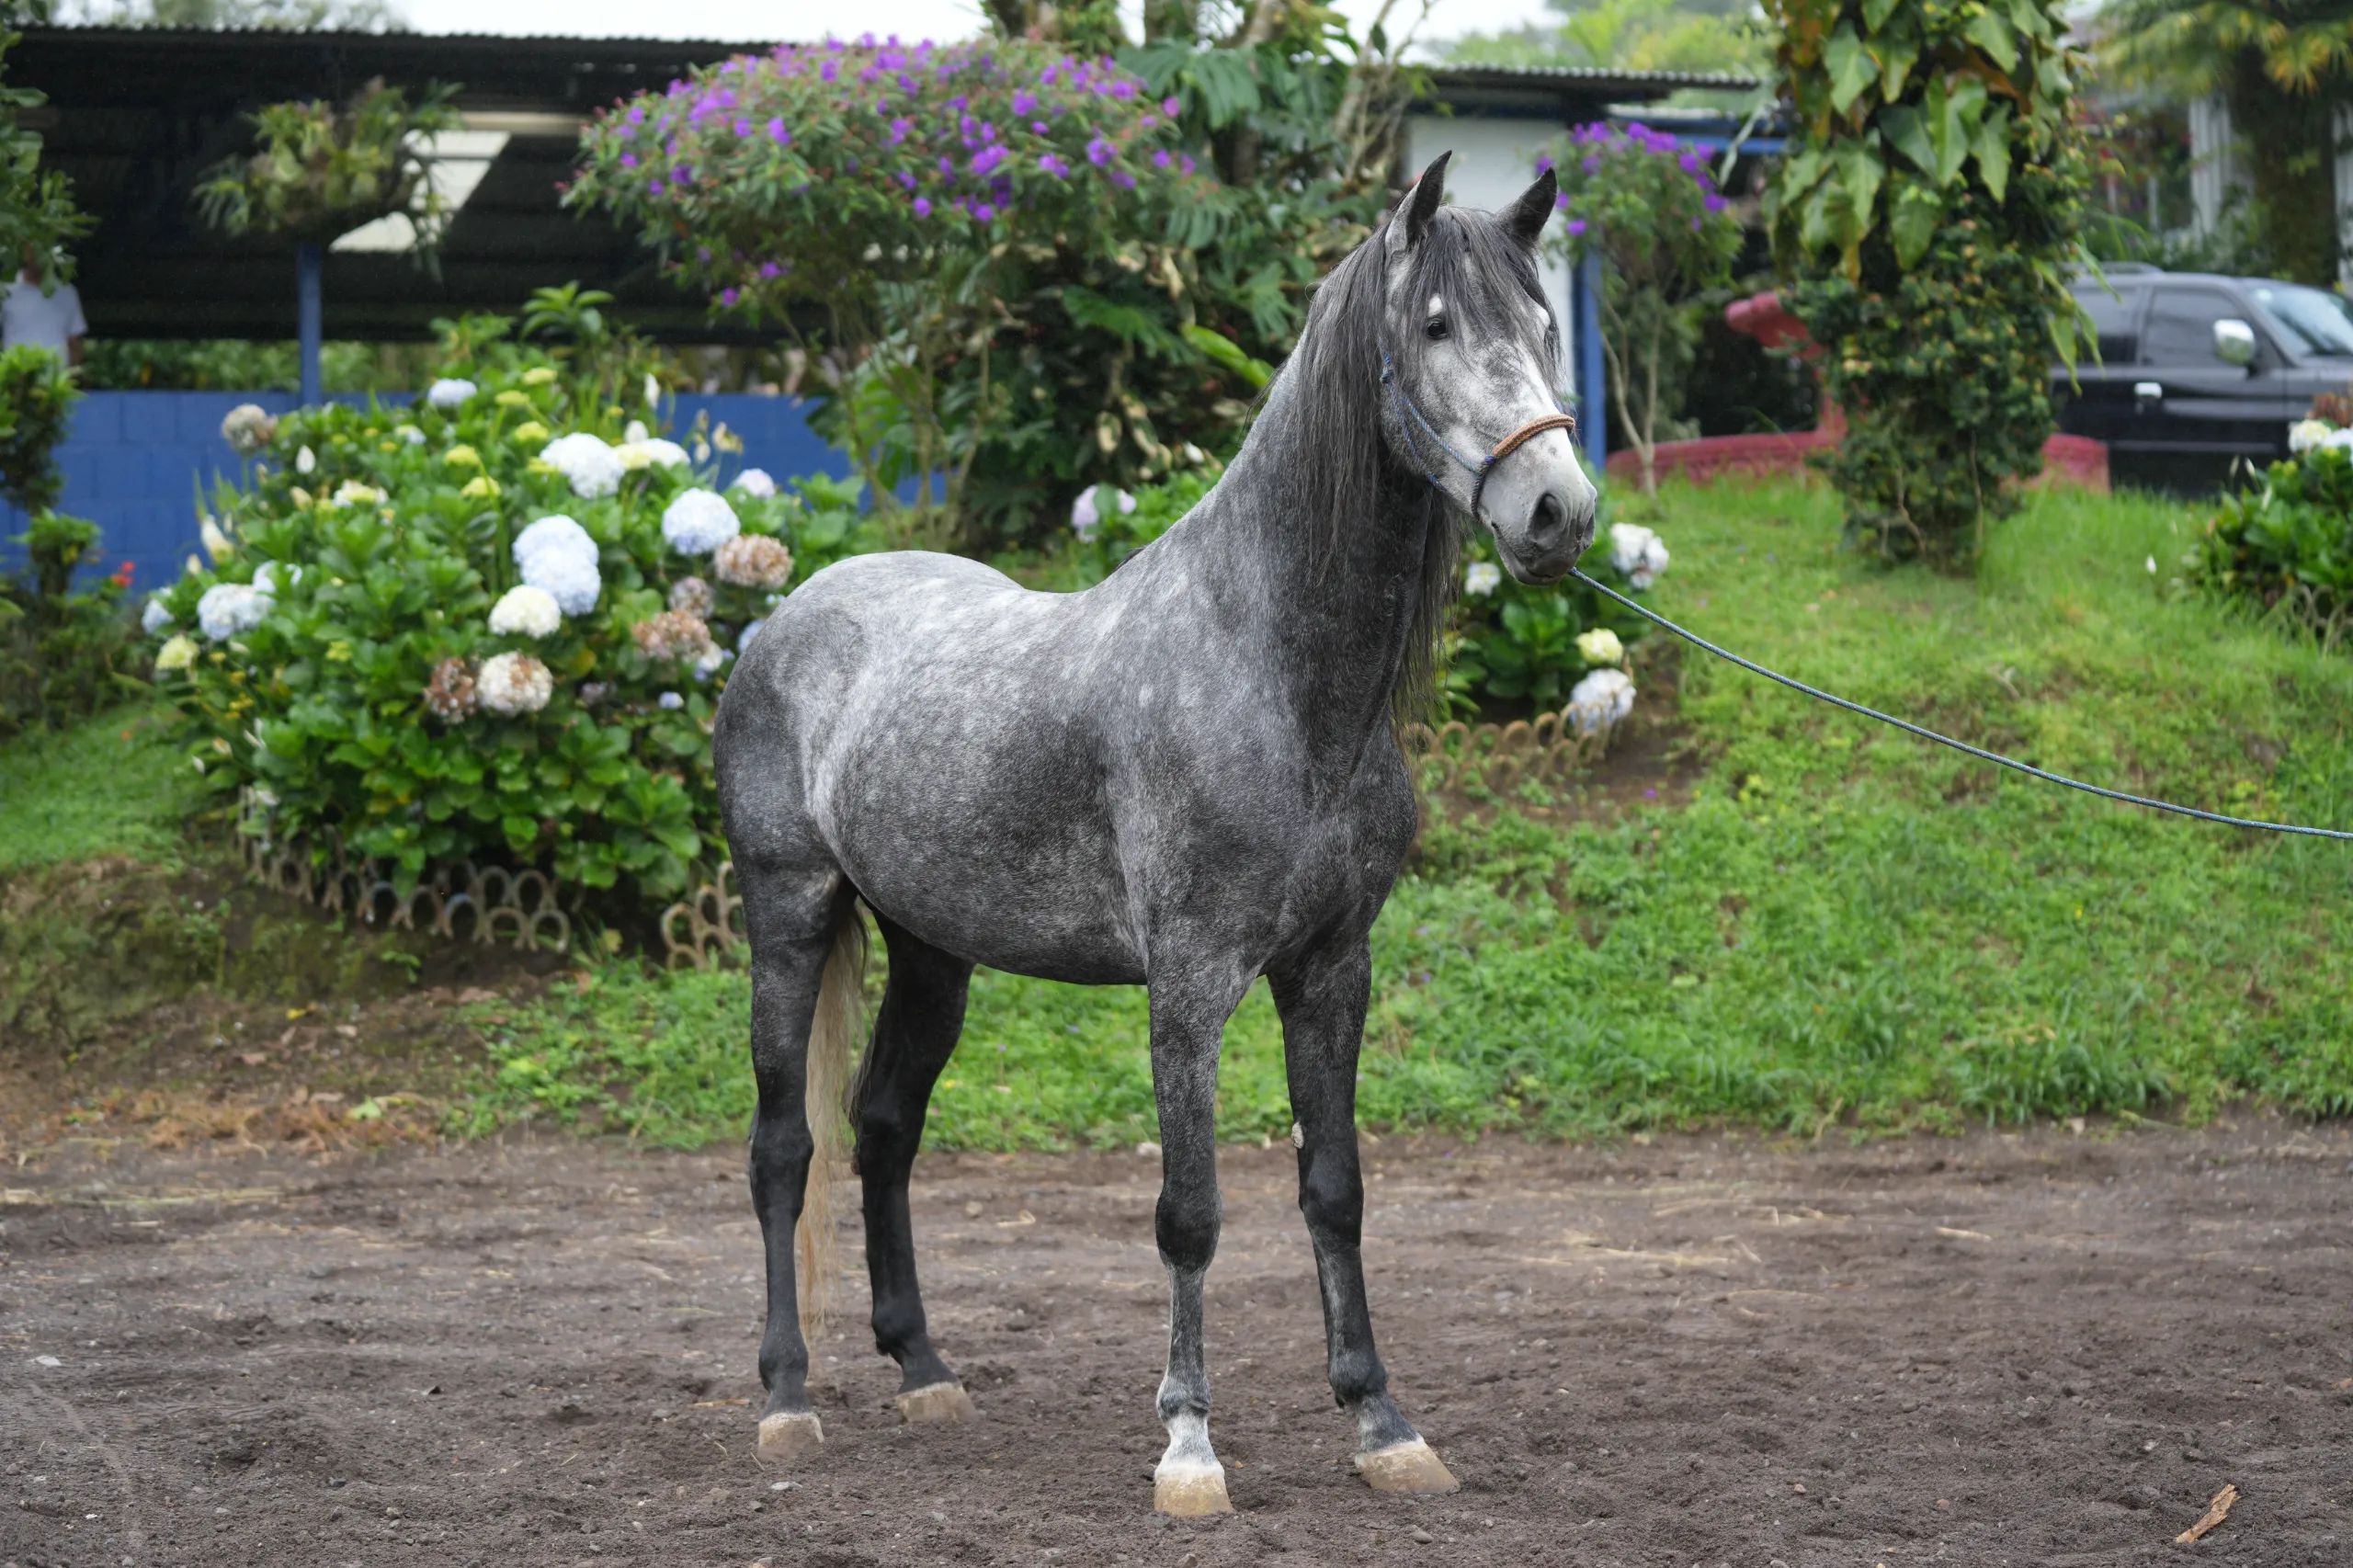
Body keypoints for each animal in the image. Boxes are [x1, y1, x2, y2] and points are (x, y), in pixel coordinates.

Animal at [711, 150, 1598, 1515]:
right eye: (1439, 324)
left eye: (1546, 325)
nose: (1558, 511)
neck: (1272, 671)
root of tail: (790, 615)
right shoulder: (1189, 983)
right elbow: (1191, 1209)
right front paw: (1189, 1444)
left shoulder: (1332, 971)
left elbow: (1335, 1188)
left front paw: (1382, 1420)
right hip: (789, 915)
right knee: (781, 1146)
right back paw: (786, 1399)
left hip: (933, 951)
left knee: (884, 1128)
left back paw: (924, 1368)